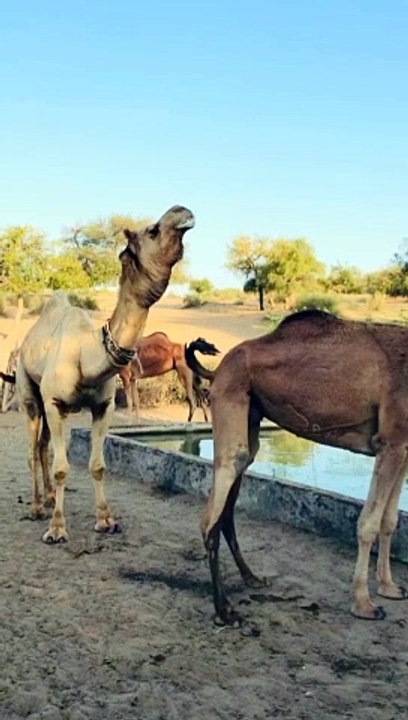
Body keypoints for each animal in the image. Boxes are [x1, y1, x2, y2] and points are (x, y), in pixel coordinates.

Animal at [16, 205, 195, 543]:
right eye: (153, 230)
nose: (184, 212)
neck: (87, 355)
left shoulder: (103, 405)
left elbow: (98, 465)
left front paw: (105, 521)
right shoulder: (55, 402)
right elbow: (62, 467)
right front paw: (57, 529)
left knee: (43, 447)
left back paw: (49, 497)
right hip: (29, 392)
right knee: (33, 448)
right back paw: (36, 507)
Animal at [185, 311, 408, 626]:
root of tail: (218, 369)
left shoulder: (402, 446)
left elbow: (390, 520)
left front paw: (390, 588)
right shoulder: (389, 441)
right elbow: (369, 523)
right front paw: (364, 604)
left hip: (250, 414)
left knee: (230, 499)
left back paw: (252, 578)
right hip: (230, 395)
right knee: (213, 510)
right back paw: (225, 610)